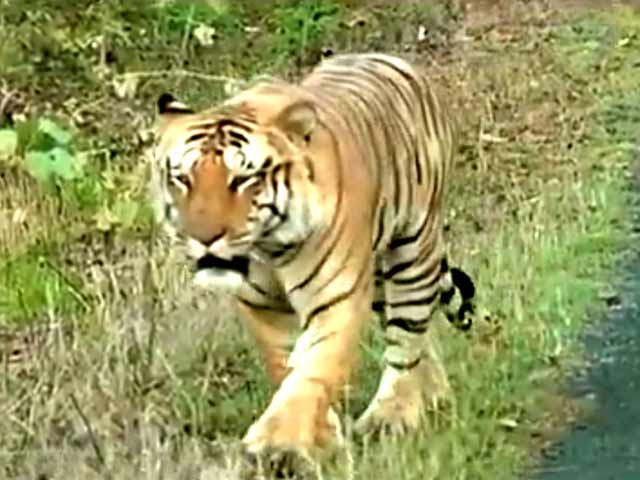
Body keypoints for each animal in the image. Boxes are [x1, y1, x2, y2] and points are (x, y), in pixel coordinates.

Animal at [152, 53, 475, 463]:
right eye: (183, 178)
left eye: (242, 180)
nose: (204, 238)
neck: (269, 248)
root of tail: (391, 58)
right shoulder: (263, 308)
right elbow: (287, 367)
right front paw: (322, 437)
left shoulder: (337, 298)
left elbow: (314, 369)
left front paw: (278, 444)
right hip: (378, 279)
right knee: (416, 334)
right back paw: (434, 396)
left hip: (412, 250)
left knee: (407, 337)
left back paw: (391, 417)